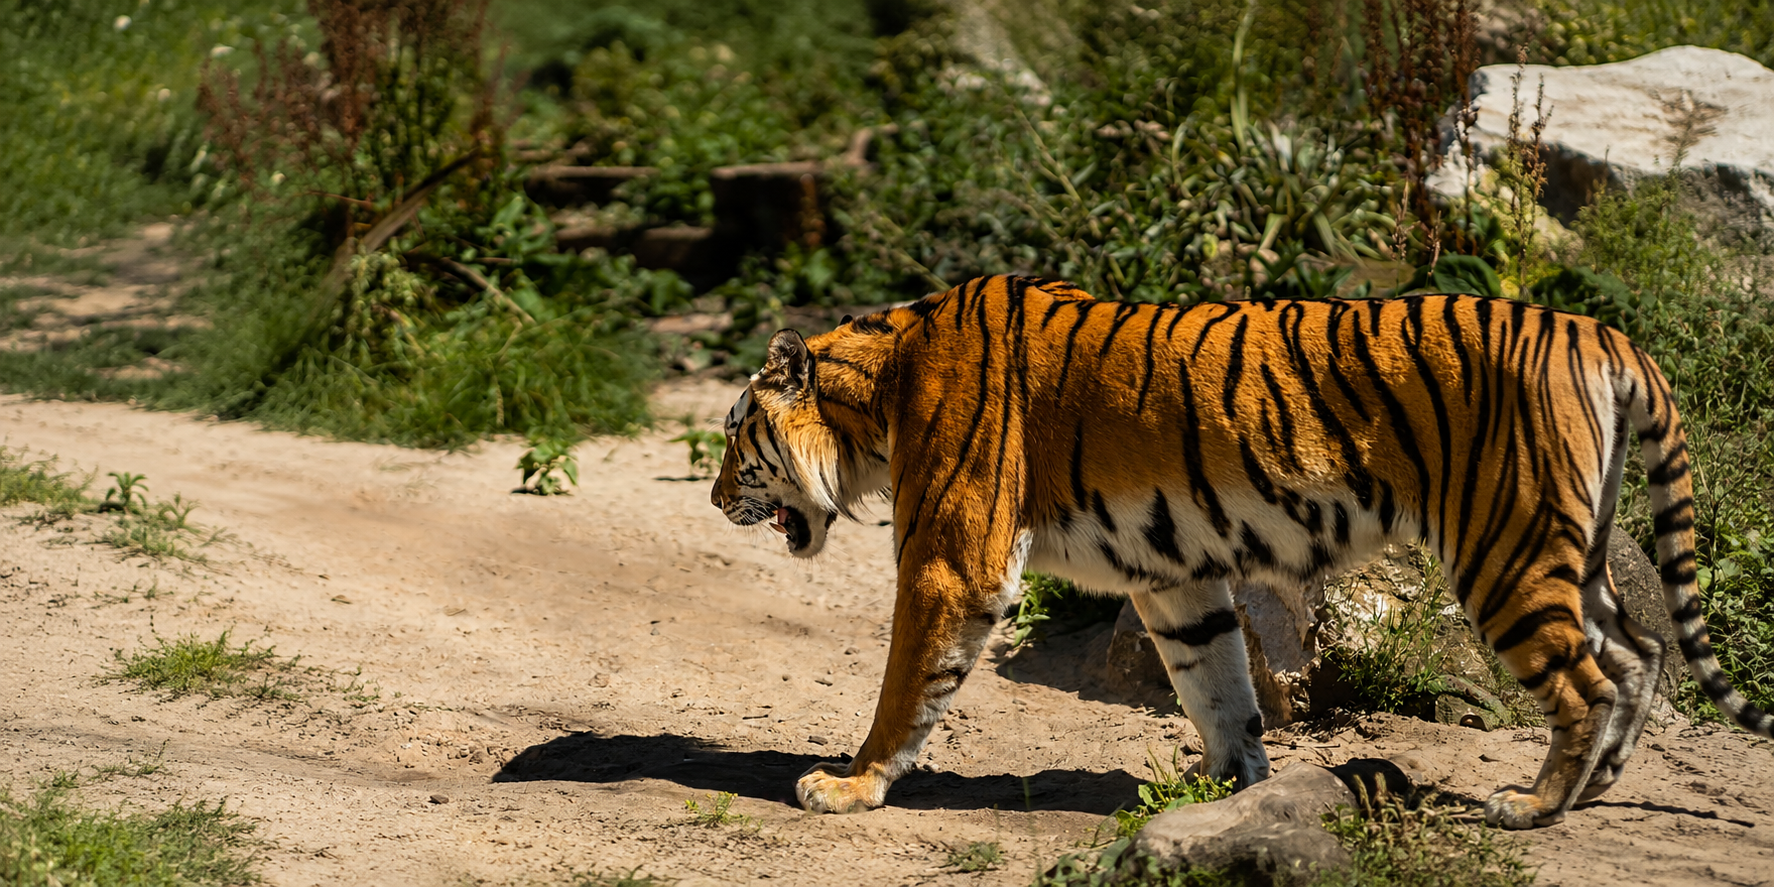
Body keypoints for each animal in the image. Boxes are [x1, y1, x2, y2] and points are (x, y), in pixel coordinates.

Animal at [708, 274, 1774, 829]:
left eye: (731, 433)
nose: (715, 498)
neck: (875, 401)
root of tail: (1601, 330)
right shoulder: (1174, 575)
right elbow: (1217, 685)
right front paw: (1235, 792)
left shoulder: (950, 560)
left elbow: (903, 690)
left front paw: (848, 784)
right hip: (1569, 546)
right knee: (1638, 651)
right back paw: (1601, 786)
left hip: (1504, 545)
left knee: (1588, 679)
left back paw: (1534, 804)